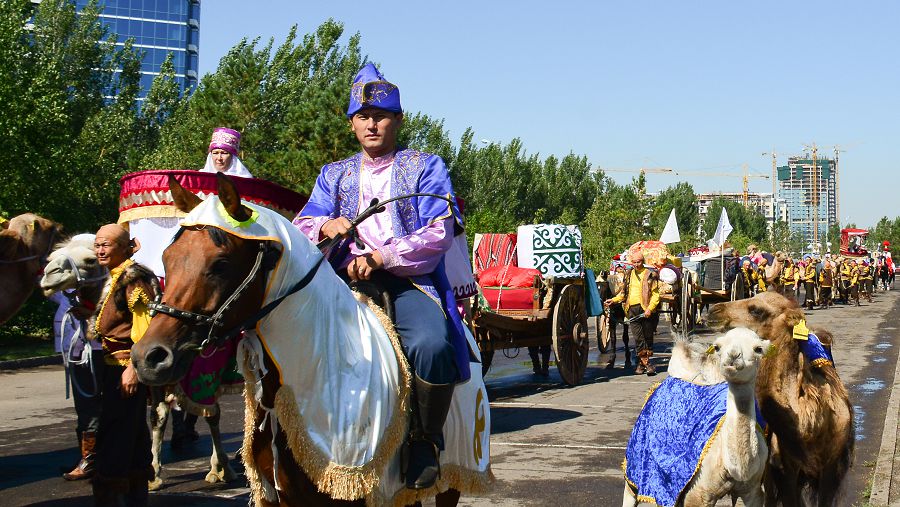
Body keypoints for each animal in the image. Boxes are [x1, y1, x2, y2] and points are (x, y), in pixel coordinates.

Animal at [39, 235, 237, 492]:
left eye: (91, 259)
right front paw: (153, 473)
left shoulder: (206, 372)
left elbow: (210, 413)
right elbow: (158, 415)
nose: (48, 275)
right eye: (54, 256)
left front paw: (220, 469)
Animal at [624, 330, 768, 507]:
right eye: (717, 347)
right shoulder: (697, 494)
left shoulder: (753, 491)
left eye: (758, 349)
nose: (733, 356)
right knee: (630, 490)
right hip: (636, 462)